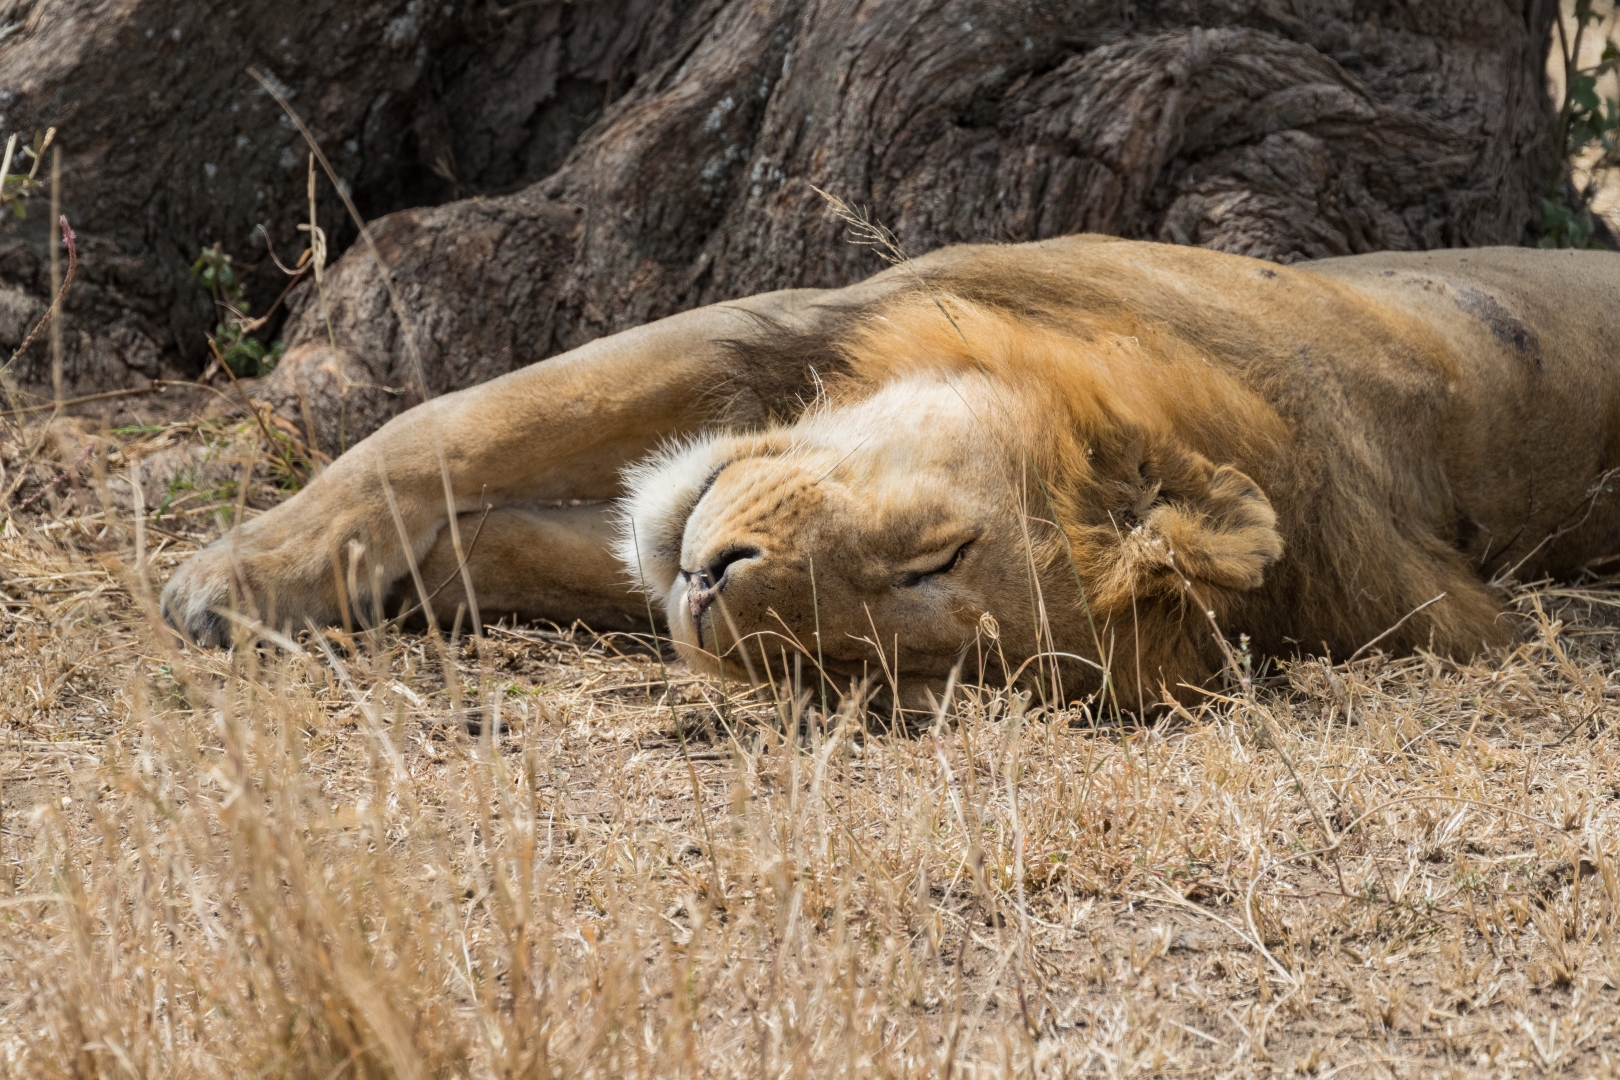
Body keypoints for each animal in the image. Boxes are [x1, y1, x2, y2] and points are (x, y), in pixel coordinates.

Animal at [161, 234, 1620, 709]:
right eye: (940, 556)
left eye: (857, 662)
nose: (717, 588)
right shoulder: (805, 313)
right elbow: (442, 429)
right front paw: (237, 576)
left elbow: (541, 524)